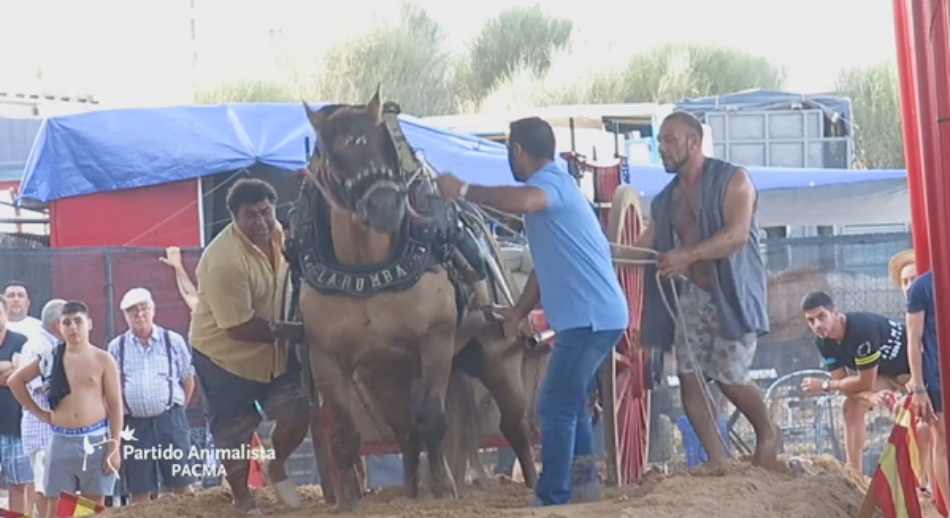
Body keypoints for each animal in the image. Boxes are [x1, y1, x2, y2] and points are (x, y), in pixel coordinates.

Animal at [290, 91, 540, 512]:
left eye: (383, 144)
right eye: (332, 154)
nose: (385, 206)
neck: (365, 268)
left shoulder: (435, 340)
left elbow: (433, 420)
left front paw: (443, 489)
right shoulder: (326, 357)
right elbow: (345, 434)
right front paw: (348, 502)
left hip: (496, 357)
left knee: (515, 425)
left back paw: (537, 484)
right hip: (384, 376)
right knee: (405, 433)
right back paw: (408, 491)